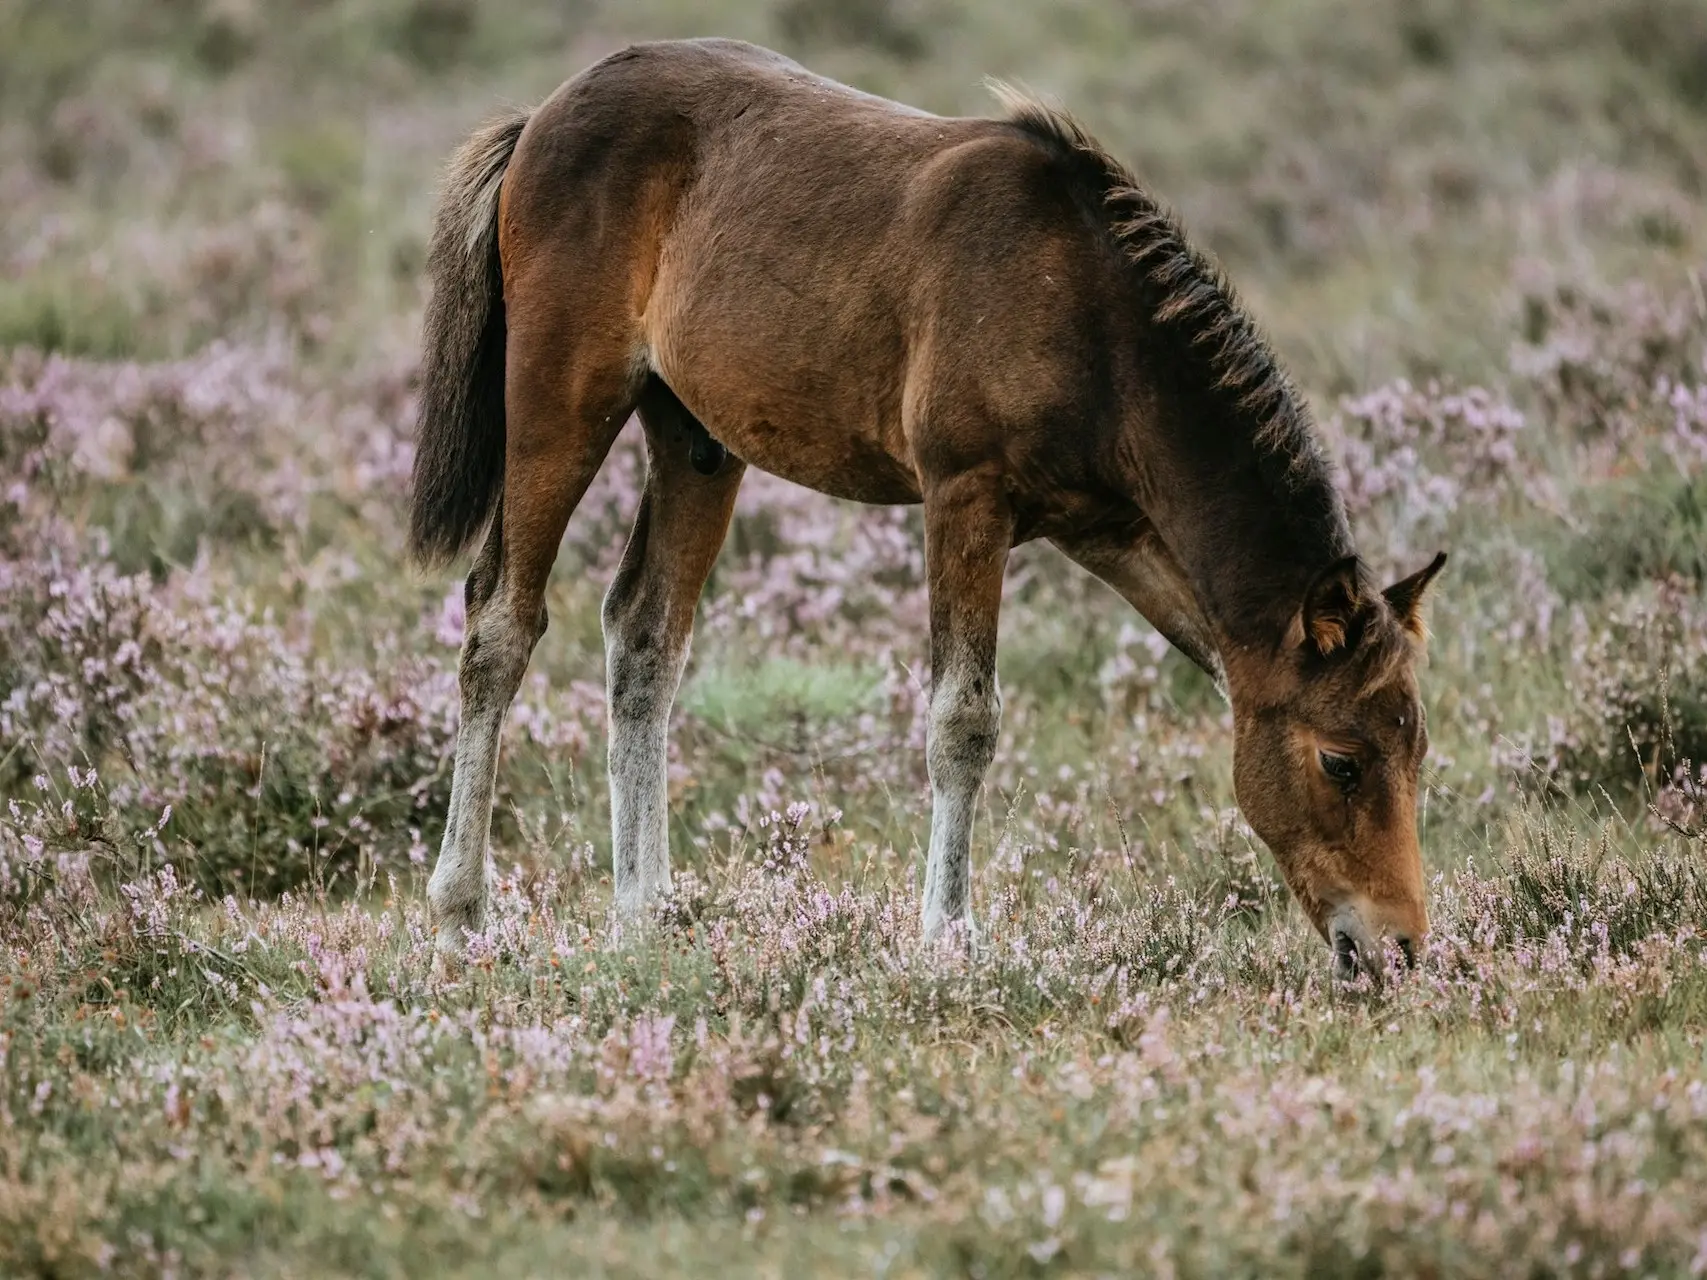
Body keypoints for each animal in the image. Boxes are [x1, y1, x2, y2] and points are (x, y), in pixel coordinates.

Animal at [406, 37, 1447, 983]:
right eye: (1340, 762)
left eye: (1418, 751)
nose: (1395, 950)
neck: (1089, 320)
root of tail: (539, 120)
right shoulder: (963, 498)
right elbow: (963, 720)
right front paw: (948, 935)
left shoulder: (1115, 535)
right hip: (560, 407)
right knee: (500, 624)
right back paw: (461, 916)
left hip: (695, 439)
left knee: (643, 636)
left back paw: (643, 915)